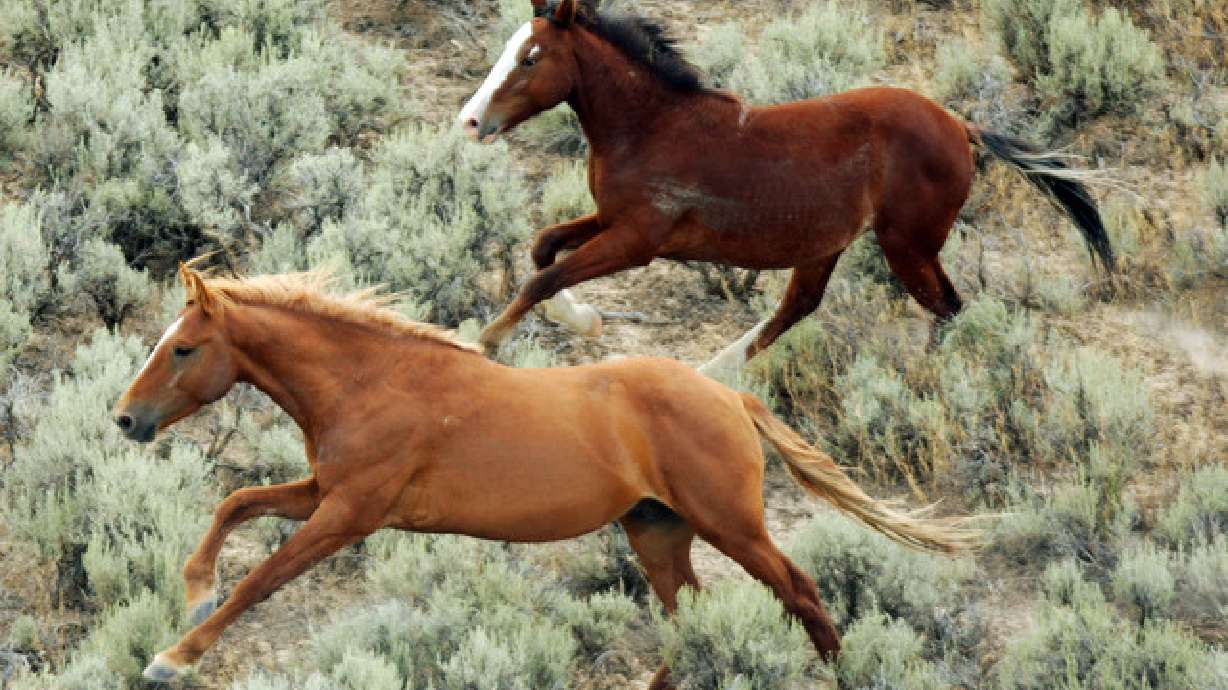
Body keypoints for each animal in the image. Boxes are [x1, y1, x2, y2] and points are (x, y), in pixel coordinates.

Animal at [111, 265, 978, 688]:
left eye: (184, 347)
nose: (125, 419)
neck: (372, 381)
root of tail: (729, 394)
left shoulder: (349, 513)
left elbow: (262, 579)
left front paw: (172, 657)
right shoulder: (325, 493)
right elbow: (235, 503)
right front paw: (194, 591)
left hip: (732, 525)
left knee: (799, 591)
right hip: (656, 529)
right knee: (687, 619)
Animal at [458, 0, 1115, 375]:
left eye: (530, 58)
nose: (470, 121)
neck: (649, 126)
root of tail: (961, 126)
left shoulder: (638, 240)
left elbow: (541, 277)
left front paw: (481, 344)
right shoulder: (611, 221)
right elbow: (543, 248)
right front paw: (587, 320)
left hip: (907, 245)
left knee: (947, 307)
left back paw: (928, 380)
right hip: (829, 244)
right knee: (800, 306)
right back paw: (713, 373)